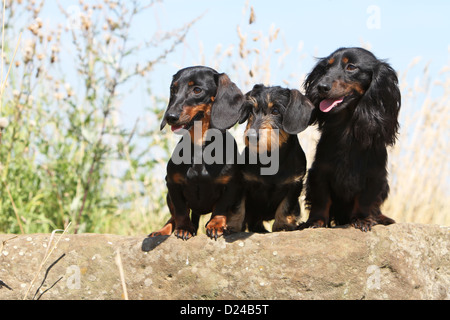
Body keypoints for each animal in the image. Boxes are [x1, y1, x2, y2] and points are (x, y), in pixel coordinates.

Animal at [149, 65, 244, 240]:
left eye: (197, 90)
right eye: (173, 89)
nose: (170, 116)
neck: (200, 148)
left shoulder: (231, 185)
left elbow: (220, 208)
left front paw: (216, 225)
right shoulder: (172, 184)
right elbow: (180, 211)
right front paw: (185, 228)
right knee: (172, 217)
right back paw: (161, 231)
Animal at [237, 84, 314, 231]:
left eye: (276, 111)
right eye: (251, 110)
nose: (251, 137)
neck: (271, 155)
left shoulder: (294, 184)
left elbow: (285, 207)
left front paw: (283, 225)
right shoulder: (243, 182)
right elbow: (239, 207)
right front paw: (231, 226)